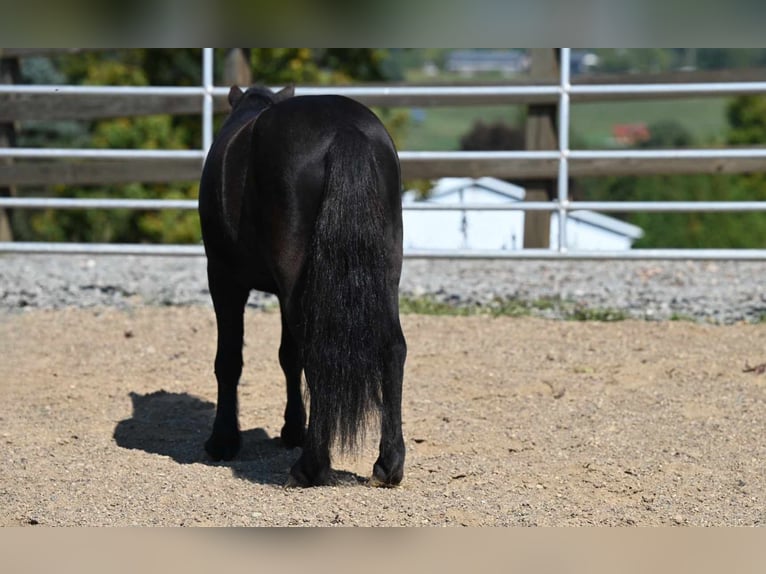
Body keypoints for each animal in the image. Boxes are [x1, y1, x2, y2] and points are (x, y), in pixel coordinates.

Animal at [198, 85, 408, 488]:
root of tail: (344, 130)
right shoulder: (284, 293)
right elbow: (288, 357)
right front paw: (291, 430)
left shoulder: (223, 277)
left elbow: (229, 359)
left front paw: (222, 440)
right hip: (385, 272)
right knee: (393, 349)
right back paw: (388, 465)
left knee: (317, 353)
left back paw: (310, 467)